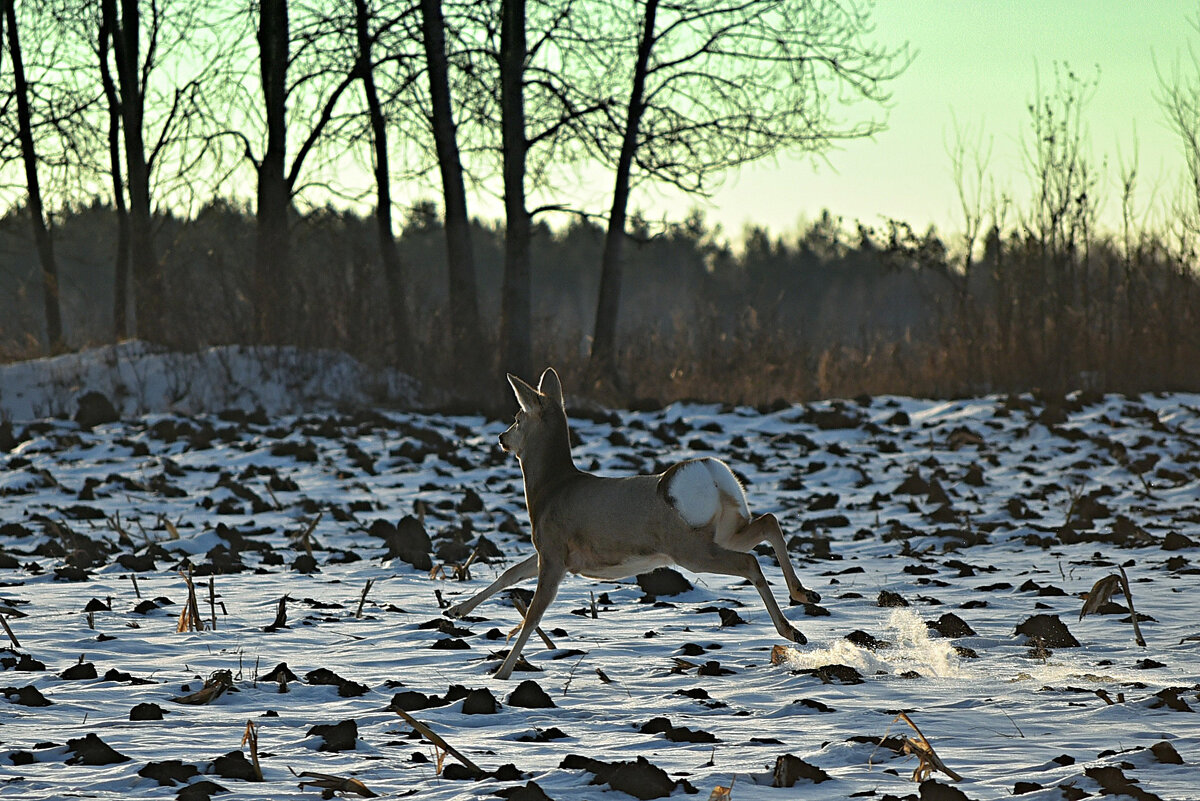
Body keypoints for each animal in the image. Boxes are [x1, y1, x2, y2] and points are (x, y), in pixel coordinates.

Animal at [446, 366, 811, 676]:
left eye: (518, 417)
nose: (502, 439)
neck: (550, 488)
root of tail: (709, 472)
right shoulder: (550, 554)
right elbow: (510, 573)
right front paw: (455, 610)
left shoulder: (553, 553)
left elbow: (534, 613)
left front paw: (502, 673)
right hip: (722, 530)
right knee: (768, 522)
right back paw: (805, 597)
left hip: (689, 548)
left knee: (750, 561)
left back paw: (792, 630)